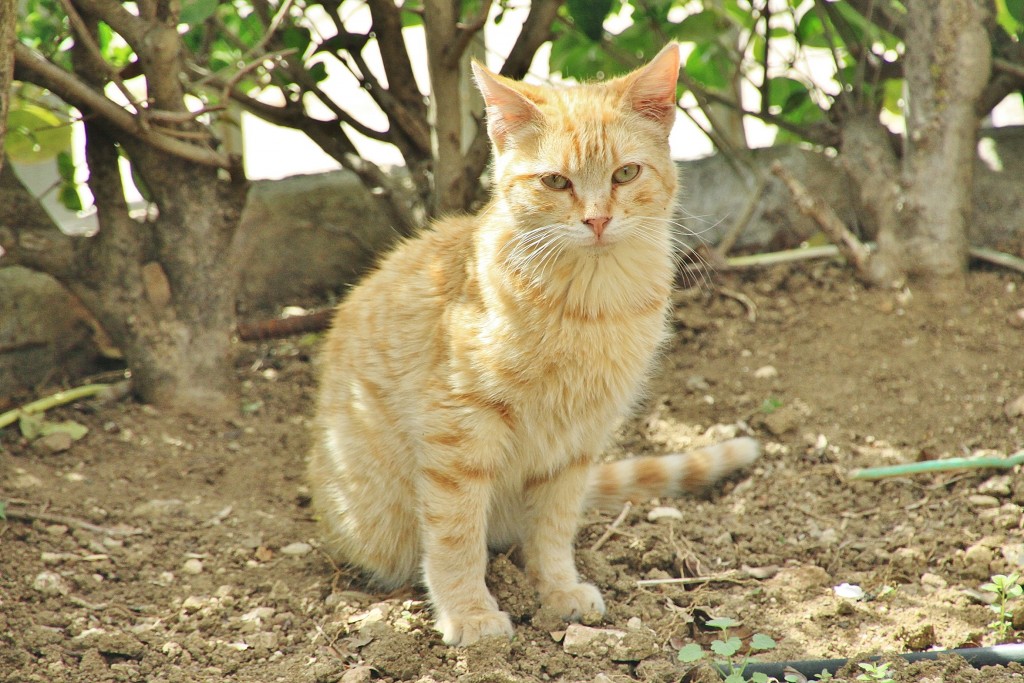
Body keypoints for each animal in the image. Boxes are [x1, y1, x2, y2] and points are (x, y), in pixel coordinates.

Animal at [305, 44, 761, 647]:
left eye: (625, 173)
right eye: (555, 182)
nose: (597, 219)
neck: (591, 304)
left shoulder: (579, 439)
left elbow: (553, 525)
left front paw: (557, 589)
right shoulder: (459, 429)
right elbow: (454, 534)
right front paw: (469, 613)